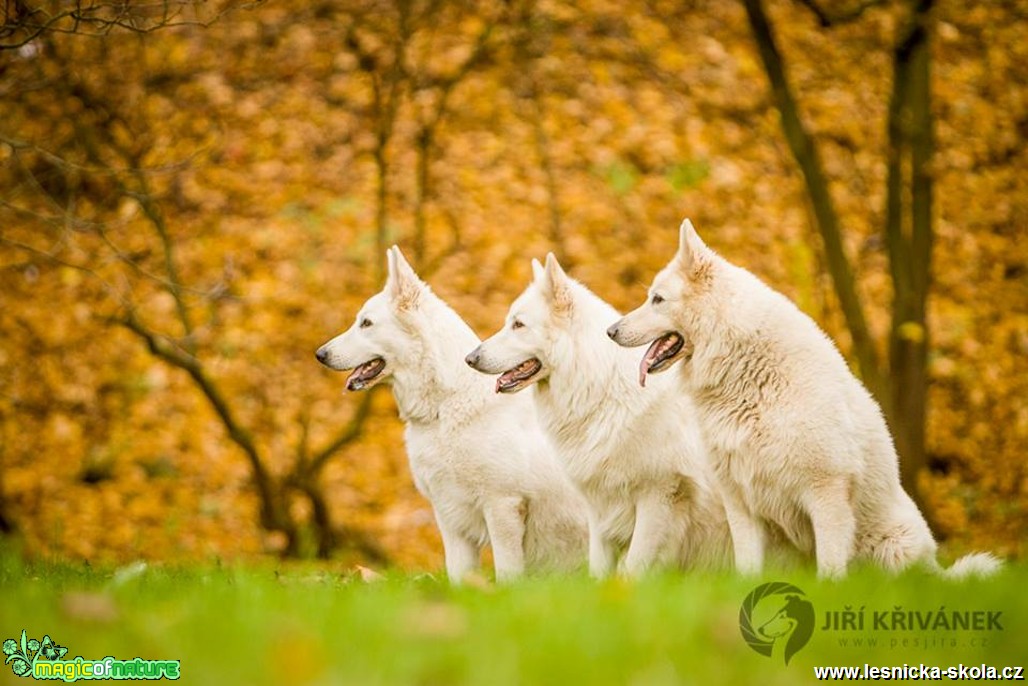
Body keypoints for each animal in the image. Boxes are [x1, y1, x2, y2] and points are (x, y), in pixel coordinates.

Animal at [312, 246, 588, 580]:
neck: (445, 408)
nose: (320, 354)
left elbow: (507, 573)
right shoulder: (450, 518)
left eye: (366, 323)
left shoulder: (502, 506)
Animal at [466, 255, 731, 575]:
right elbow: (599, 569)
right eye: (510, 322)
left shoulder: (659, 495)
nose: (470, 358)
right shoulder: (599, 508)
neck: (600, 385)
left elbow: (634, 567)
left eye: (518, 325)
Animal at [604, 219, 999, 580]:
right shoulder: (740, 501)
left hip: (892, 547)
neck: (749, 373)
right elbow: (747, 569)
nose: (611, 331)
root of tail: (936, 569)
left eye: (657, 299)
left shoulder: (827, 493)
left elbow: (830, 570)